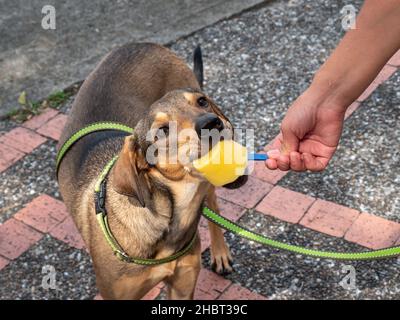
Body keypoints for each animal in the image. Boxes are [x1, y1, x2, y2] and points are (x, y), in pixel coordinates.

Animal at [57, 43, 245, 300]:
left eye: (202, 101)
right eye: (162, 130)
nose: (211, 124)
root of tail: (145, 44)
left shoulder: (182, 286)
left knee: (214, 208)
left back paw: (220, 254)